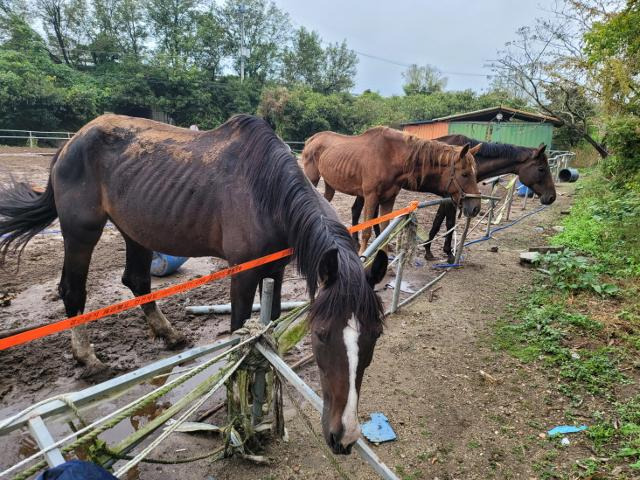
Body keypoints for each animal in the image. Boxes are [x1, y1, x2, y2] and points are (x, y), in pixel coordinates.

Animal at [0, 115, 388, 454]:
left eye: (375, 335)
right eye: (321, 334)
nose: (344, 437)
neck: (267, 192)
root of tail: (71, 143)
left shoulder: (274, 272)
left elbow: (271, 329)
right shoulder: (243, 274)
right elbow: (239, 338)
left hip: (134, 228)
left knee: (136, 280)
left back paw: (169, 333)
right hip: (81, 231)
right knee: (73, 290)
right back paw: (88, 358)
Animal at [300, 127, 480, 255]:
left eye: (475, 172)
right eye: (464, 174)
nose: (476, 208)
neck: (391, 157)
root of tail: (311, 139)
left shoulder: (389, 198)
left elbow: (385, 229)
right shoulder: (371, 197)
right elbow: (367, 230)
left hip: (329, 184)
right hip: (312, 179)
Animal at [350, 133, 556, 262]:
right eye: (541, 169)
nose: (551, 197)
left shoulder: (453, 198)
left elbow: (441, 222)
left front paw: (432, 250)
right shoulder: (449, 198)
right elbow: (446, 223)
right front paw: (442, 253)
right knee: (359, 212)